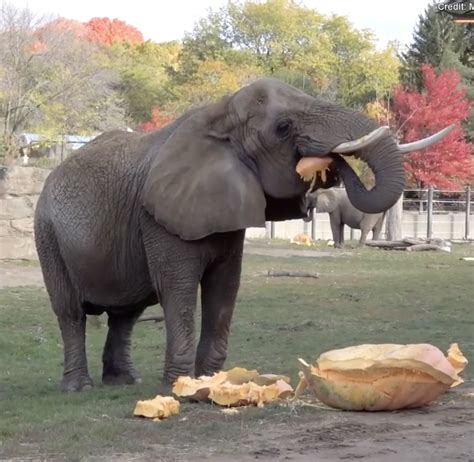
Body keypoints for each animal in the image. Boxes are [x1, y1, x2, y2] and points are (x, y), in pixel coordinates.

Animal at [34, 77, 452, 392]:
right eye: (283, 128)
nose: (330, 167)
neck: (219, 117)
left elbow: (226, 286)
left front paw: (212, 381)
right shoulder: (158, 218)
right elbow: (177, 289)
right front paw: (179, 388)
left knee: (127, 312)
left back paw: (125, 382)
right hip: (47, 234)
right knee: (71, 312)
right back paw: (79, 387)